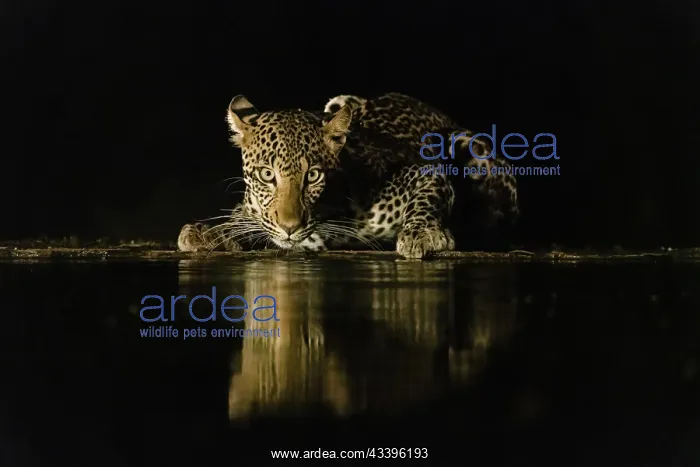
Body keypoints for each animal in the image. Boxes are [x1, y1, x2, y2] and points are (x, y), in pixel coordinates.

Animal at [177, 92, 519, 259]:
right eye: (266, 174)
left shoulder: (424, 170)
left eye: (313, 176)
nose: (290, 228)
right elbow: (246, 217)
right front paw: (210, 230)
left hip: (470, 146)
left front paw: (422, 233)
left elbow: (426, 196)